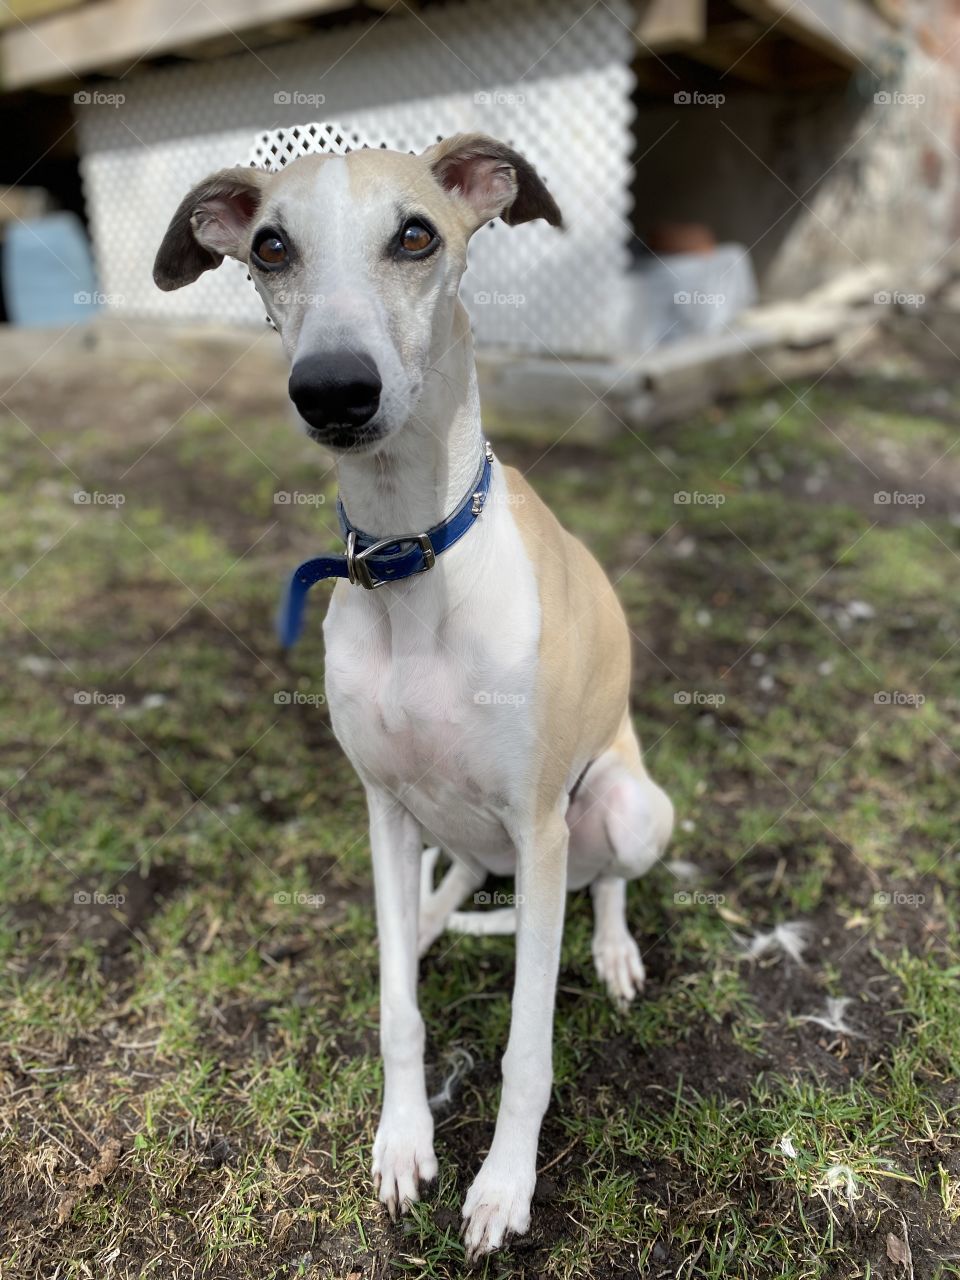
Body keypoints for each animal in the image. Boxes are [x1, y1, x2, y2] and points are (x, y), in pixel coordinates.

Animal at [154, 135, 670, 1254]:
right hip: (453, 830)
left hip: (626, 806)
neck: (410, 556)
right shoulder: (384, 808)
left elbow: (526, 1050)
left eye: (417, 235)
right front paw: (402, 1145)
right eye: (270, 246)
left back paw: (610, 949)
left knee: (606, 880)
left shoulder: (539, 820)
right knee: (455, 881)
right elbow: (398, 1009)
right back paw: (435, 919)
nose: (334, 390)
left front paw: (503, 1189)